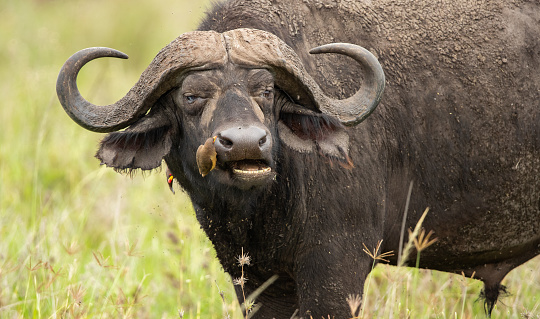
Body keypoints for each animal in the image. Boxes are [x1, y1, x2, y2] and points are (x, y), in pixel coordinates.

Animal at [56, 0, 540, 318]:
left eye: (267, 91)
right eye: (190, 96)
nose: (245, 143)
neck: (262, 212)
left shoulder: (337, 274)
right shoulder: (255, 282)